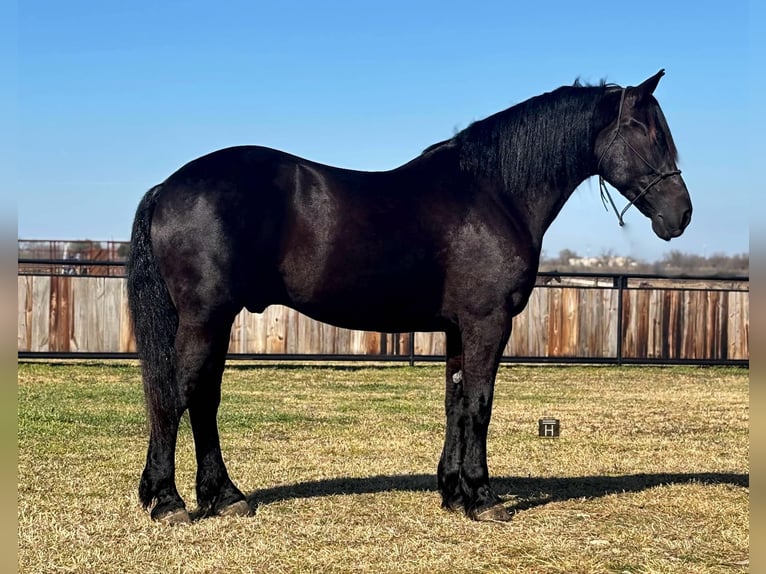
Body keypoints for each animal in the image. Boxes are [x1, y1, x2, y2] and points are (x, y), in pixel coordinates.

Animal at [127, 70, 691, 524]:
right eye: (651, 135)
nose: (681, 214)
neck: (493, 193)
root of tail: (167, 187)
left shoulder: (459, 328)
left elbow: (455, 402)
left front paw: (453, 492)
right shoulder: (488, 322)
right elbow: (480, 404)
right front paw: (483, 498)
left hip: (215, 320)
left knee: (202, 398)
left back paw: (224, 497)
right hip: (205, 318)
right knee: (174, 396)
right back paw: (169, 502)